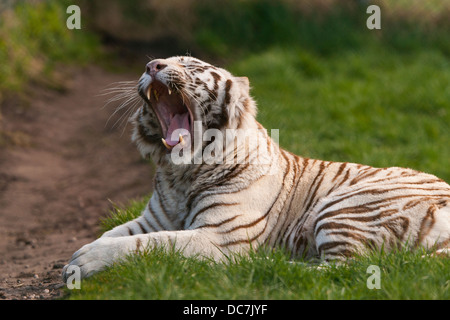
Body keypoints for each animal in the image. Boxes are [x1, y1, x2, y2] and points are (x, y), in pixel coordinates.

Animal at [62, 56, 450, 282]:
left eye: (190, 65)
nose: (151, 65)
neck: (180, 174)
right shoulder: (153, 219)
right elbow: (114, 234)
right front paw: (75, 261)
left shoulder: (217, 236)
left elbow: (150, 244)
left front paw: (85, 261)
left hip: (344, 206)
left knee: (350, 270)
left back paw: (268, 265)